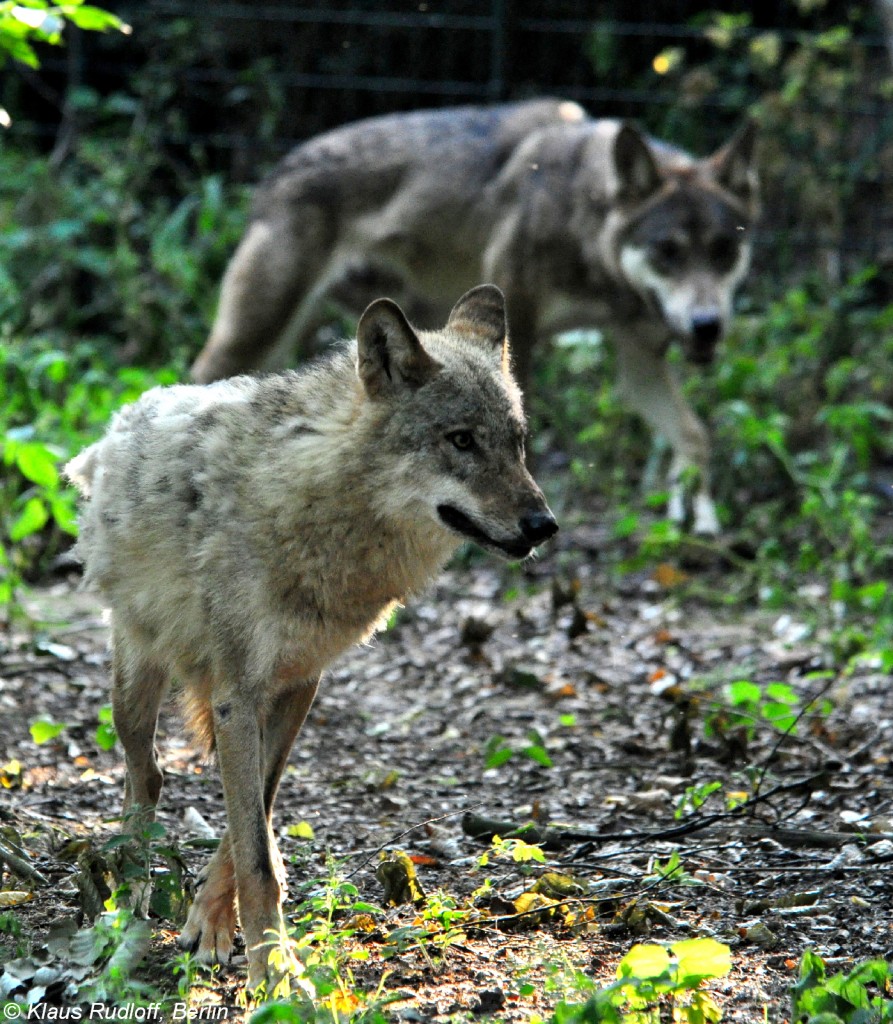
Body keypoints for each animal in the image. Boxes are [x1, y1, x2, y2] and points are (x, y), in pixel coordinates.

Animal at [66, 284, 557, 987]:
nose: (543, 525)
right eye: (461, 441)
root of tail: (120, 423)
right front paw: (275, 973)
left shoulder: (297, 687)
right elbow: (255, 852)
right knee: (146, 776)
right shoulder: (240, 695)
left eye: (516, 444)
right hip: (135, 681)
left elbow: (255, 824)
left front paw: (215, 927)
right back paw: (126, 899)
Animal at [190, 97, 761, 536]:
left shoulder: (638, 358)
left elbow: (695, 435)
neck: (582, 214)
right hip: (250, 333)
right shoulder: (520, 330)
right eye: (668, 251)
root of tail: (276, 172)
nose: (707, 324)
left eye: (723, 250)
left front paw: (701, 515)